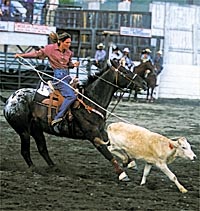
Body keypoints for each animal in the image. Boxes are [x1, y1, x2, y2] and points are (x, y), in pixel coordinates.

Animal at [0, 59, 147, 181]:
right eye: (125, 72)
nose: (144, 83)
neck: (90, 101)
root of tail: (9, 100)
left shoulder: (101, 131)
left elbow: (113, 144)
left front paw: (130, 161)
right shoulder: (92, 135)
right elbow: (106, 152)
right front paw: (122, 174)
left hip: (36, 129)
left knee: (42, 149)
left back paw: (54, 168)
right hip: (23, 131)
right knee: (25, 151)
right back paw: (34, 169)